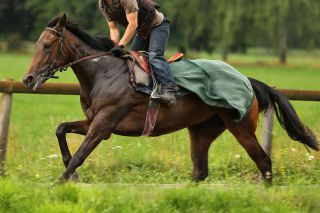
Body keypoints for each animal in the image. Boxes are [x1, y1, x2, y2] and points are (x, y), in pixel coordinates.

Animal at [21, 14, 318, 183]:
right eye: (36, 45)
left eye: (46, 45)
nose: (28, 79)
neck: (103, 72)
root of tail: (247, 79)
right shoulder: (94, 121)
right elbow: (61, 129)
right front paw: (70, 173)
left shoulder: (103, 126)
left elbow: (79, 156)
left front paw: (61, 182)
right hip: (202, 130)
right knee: (200, 171)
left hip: (241, 127)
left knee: (264, 162)